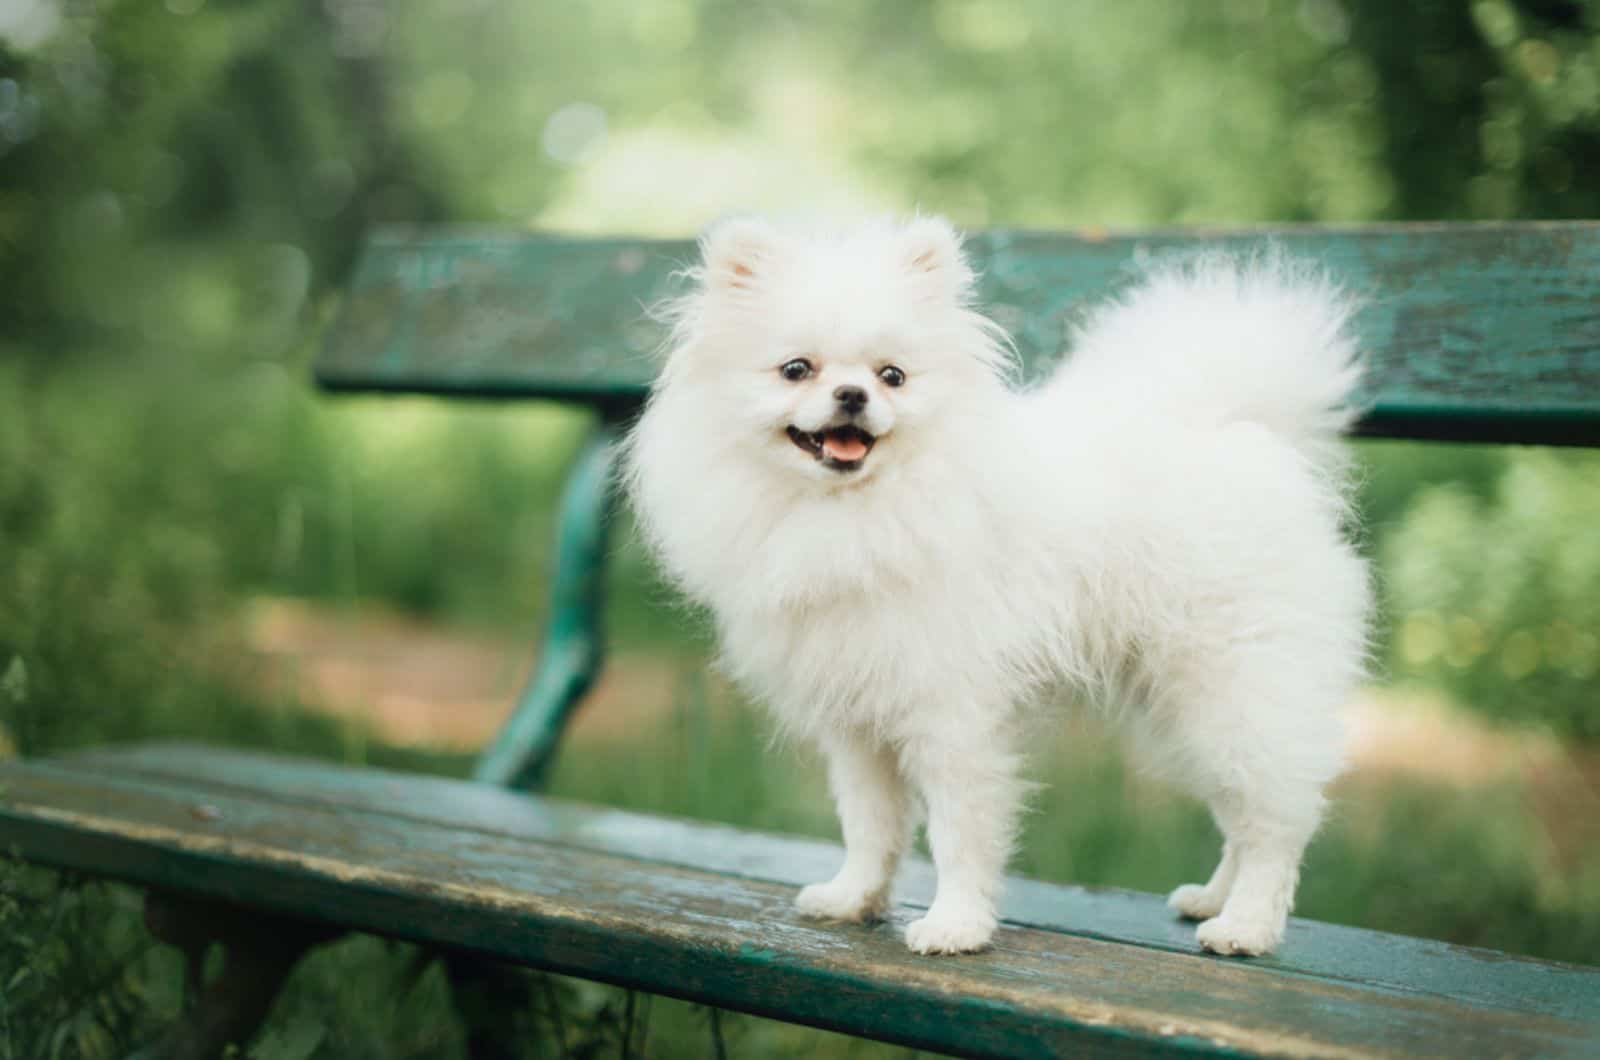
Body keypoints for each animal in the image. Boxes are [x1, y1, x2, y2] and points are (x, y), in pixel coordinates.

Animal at [617, 217, 1369, 960]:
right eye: (796, 369)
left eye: (892, 376)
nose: (854, 395)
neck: (854, 513)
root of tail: (1245, 431)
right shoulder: (858, 718)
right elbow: (869, 823)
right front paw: (853, 898)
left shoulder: (953, 715)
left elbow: (958, 833)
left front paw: (955, 926)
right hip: (1178, 703)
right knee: (1241, 808)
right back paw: (1211, 899)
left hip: (1235, 682)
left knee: (1275, 817)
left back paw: (1246, 926)